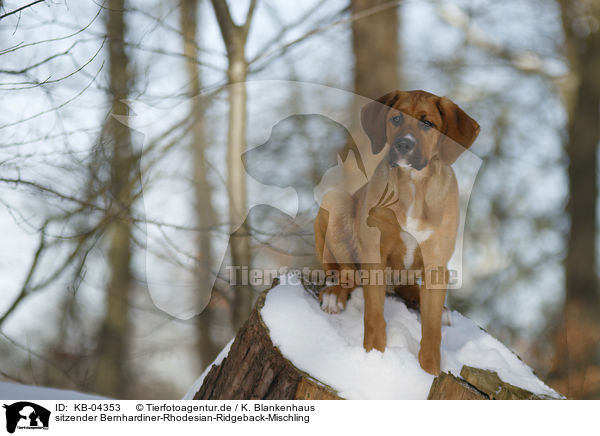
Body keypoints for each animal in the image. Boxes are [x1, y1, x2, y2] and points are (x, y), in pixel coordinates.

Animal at [314, 89, 478, 374]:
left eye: (428, 123)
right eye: (396, 119)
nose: (403, 145)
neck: (414, 185)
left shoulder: (436, 264)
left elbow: (432, 333)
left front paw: (429, 372)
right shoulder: (374, 254)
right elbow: (373, 315)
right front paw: (374, 357)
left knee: (411, 290)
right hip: (335, 201)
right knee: (345, 273)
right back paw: (335, 295)